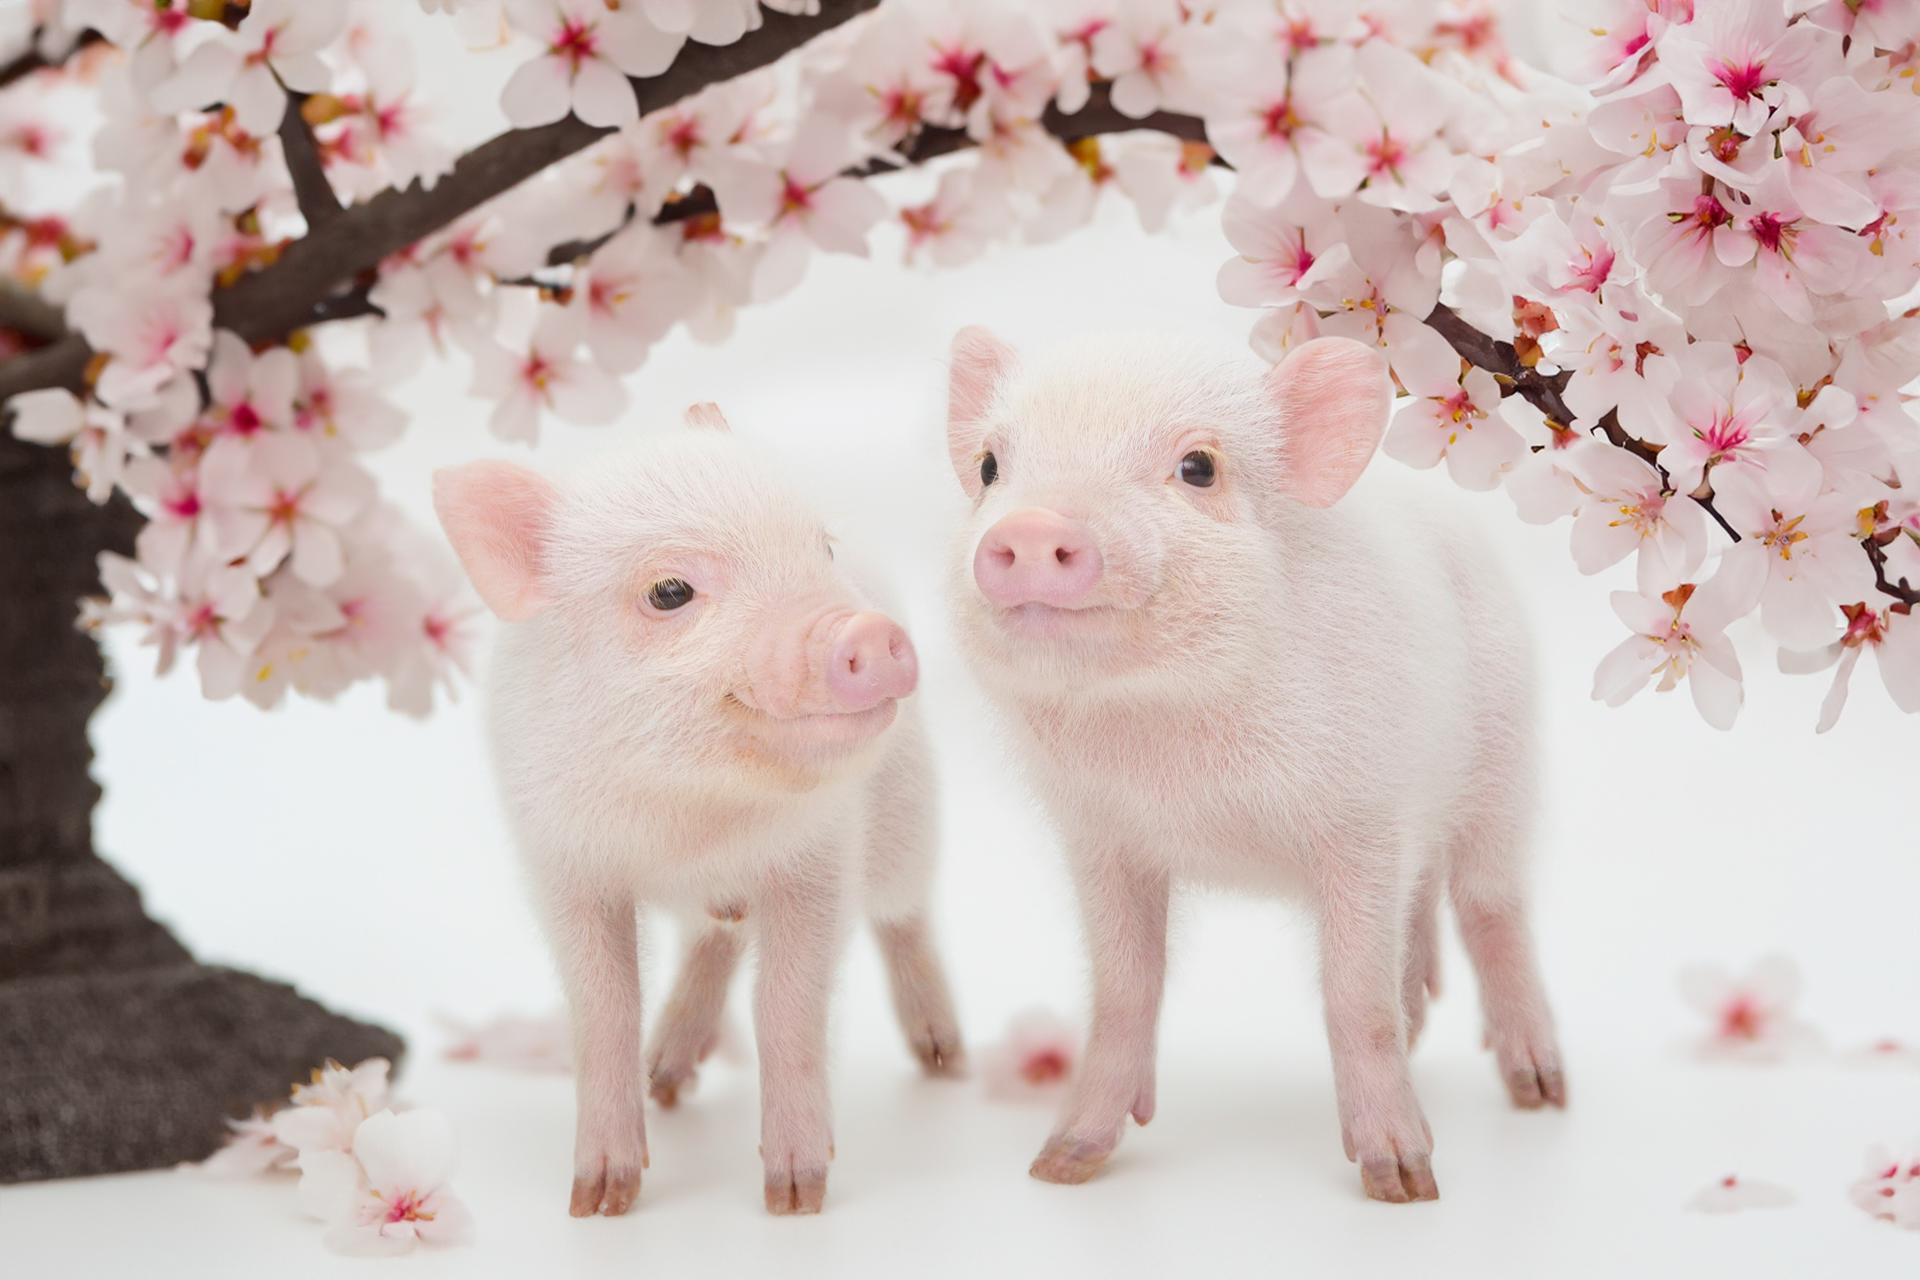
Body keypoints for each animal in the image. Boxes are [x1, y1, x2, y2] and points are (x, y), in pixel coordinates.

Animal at [432, 405, 963, 1218]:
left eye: (821, 547)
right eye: (670, 591)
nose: (867, 631)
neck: (692, 826)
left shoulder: (820, 859)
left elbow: (786, 1005)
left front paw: (796, 1199)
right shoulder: (562, 864)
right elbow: (604, 1007)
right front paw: (598, 1202)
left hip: (911, 804)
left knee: (903, 912)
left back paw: (945, 1059)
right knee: (715, 940)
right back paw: (667, 1077)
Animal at [942, 330, 1563, 1203]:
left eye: (1199, 467)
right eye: (993, 466)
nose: (1030, 527)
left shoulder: (1365, 822)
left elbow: (1354, 996)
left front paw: (1404, 1183)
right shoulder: (1100, 835)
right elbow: (1126, 987)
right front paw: (1062, 1164)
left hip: (1507, 756)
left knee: (1490, 906)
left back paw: (1541, 1093)